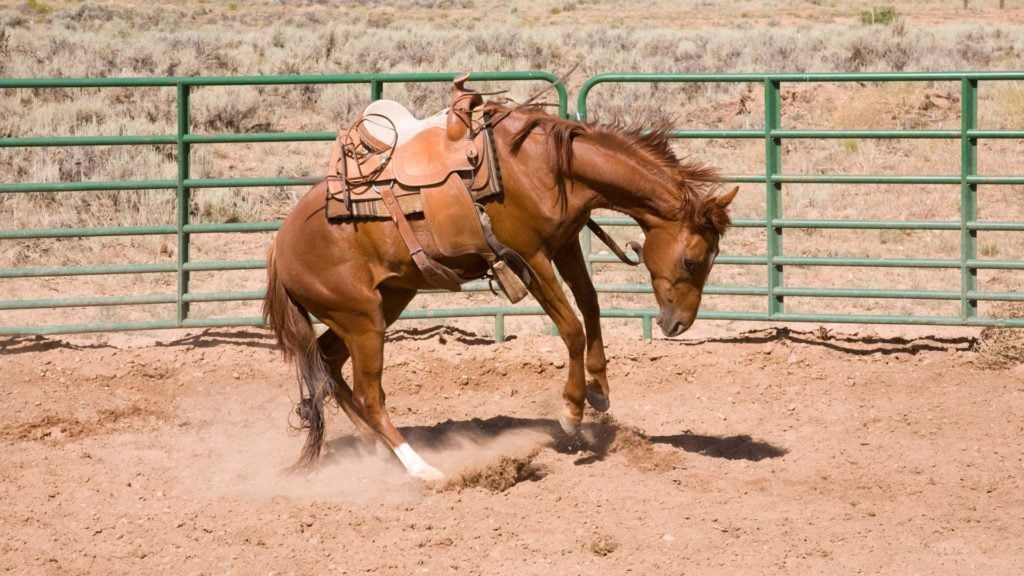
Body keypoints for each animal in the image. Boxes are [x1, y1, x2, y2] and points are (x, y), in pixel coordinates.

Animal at [264, 104, 737, 479]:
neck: (549, 167)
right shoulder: (529, 257)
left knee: (329, 363)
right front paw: (572, 411)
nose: (678, 324)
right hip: (363, 320)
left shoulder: (564, 244)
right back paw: (421, 469)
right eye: (692, 260)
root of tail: (280, 246)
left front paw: (601, 389)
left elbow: (590, 305)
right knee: (369, 393)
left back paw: (377, 451)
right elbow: (571, 327)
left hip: (384, 303)